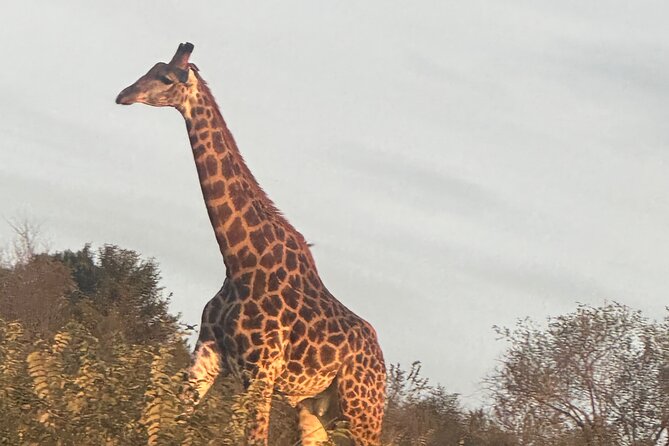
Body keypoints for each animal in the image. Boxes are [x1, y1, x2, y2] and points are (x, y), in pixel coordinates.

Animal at [117, 42, 384, 446]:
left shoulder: (261, 374)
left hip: (362, 407)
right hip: (314, 406)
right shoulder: (208, 357)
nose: (124, 95)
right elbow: (173, 423)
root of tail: (382, 362)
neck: (239, 260)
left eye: (165, 78)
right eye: (149, 68)